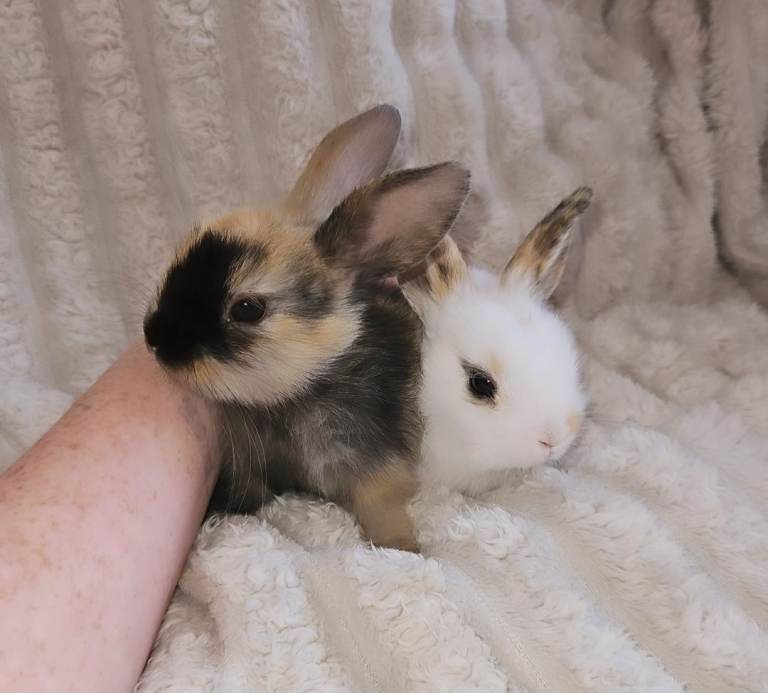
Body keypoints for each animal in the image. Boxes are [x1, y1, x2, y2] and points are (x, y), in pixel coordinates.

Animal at [143, 105, 471, 551]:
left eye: (247, 309)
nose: (155, 339)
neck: (293, 397)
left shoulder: (375, 470)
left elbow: (382, 509)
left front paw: (401, 548)